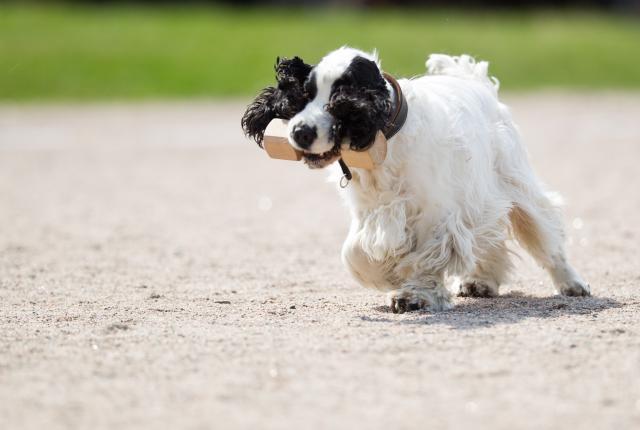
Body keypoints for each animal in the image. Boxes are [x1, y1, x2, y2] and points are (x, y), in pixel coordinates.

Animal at [241, 46, 592, 312]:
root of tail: (474, 80)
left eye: (339, 102)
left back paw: (573, 284)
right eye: (302, 96)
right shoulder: (371, 213)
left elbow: (424, 258)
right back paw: (481, 281)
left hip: (515, 185)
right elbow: (355, 253)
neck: (387, 142)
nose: (300, 132)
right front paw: (389, 276)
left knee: (544, 235)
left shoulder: (438, 217)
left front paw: (413, 295)